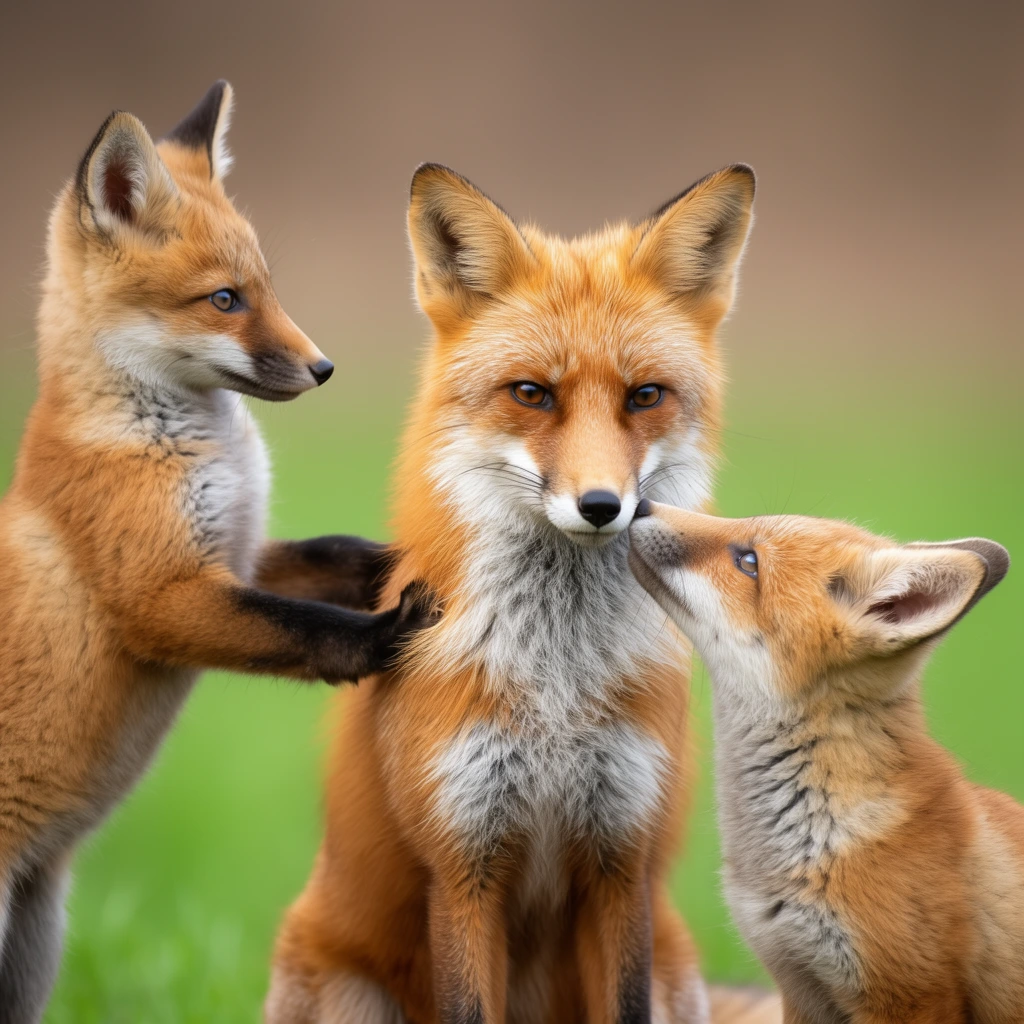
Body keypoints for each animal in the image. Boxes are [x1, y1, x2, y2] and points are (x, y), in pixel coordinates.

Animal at [0, 81, 430, 1021]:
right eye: (224, 300)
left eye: (267, 286)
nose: (324, 368)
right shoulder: (161, 597)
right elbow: (300, 627)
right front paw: (385, 638)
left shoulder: (236, 553)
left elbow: (333, 557)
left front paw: (403, 559)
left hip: (36, 941)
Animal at [265, 162, 771, 1024]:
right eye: (532, 393)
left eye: (645, 396)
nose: (603, 506)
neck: (556, 692)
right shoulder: (463, 864)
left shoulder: (621, 859)